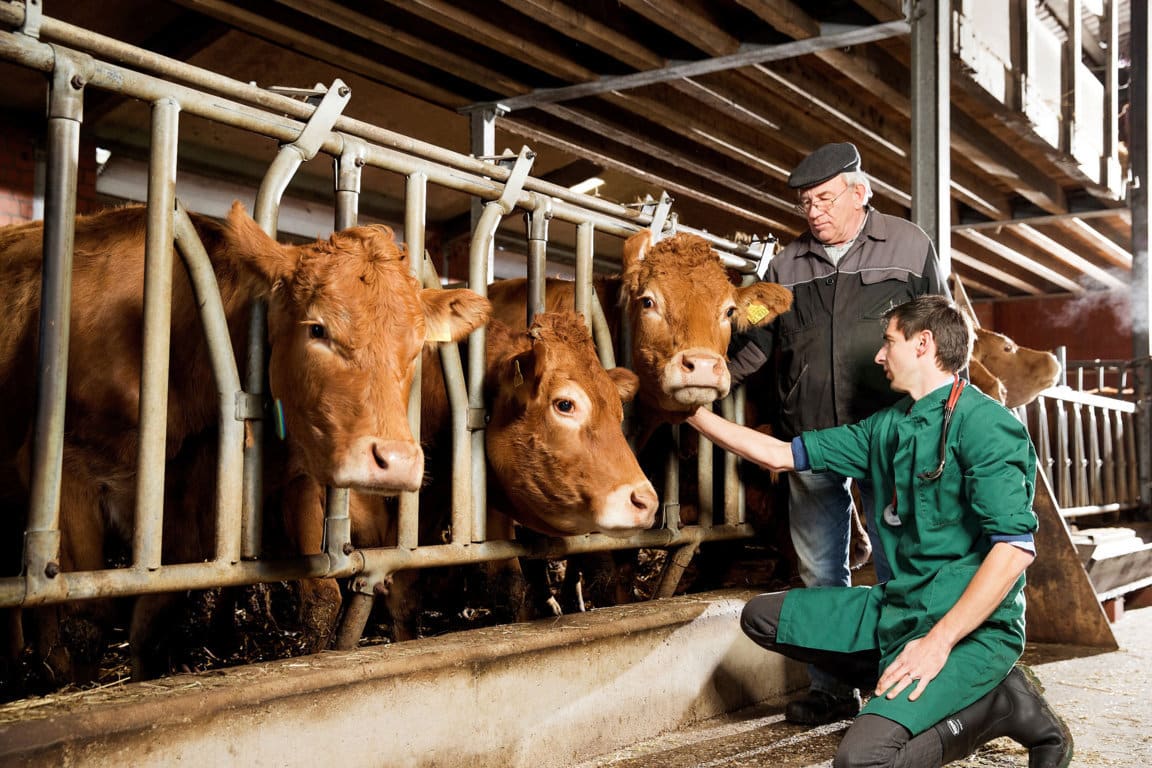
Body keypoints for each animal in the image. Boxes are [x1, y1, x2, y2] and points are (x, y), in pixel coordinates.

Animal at [0, 203, 490, 686]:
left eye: (417, 346)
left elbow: (314, 599)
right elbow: (88, 622)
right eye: (316, 328)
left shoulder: (236, 504)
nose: (396, 461)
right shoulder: (69, 473)